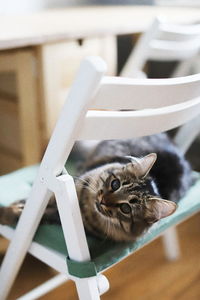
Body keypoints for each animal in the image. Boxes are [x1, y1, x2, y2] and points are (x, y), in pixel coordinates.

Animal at [0, 134, 194, 241]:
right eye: (115, 184)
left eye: (126, 209)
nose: (103, 201)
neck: (85, 207)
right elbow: (30, 206)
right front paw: (9, 212)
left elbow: (38, 216)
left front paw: (11, 215)